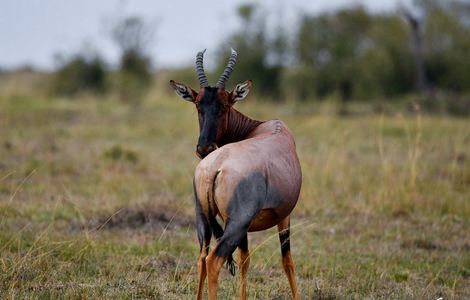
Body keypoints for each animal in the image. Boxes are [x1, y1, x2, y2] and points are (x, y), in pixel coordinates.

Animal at [169, 48, 302, 298]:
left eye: (224, 105)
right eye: (198, 105)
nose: (204, 148)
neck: (267, 128)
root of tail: (214, 167)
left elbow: (244, 260)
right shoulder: (283, 216)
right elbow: (286, 260)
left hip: (203, 219)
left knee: (202, 258)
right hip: (236, 223)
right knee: (213, 261)